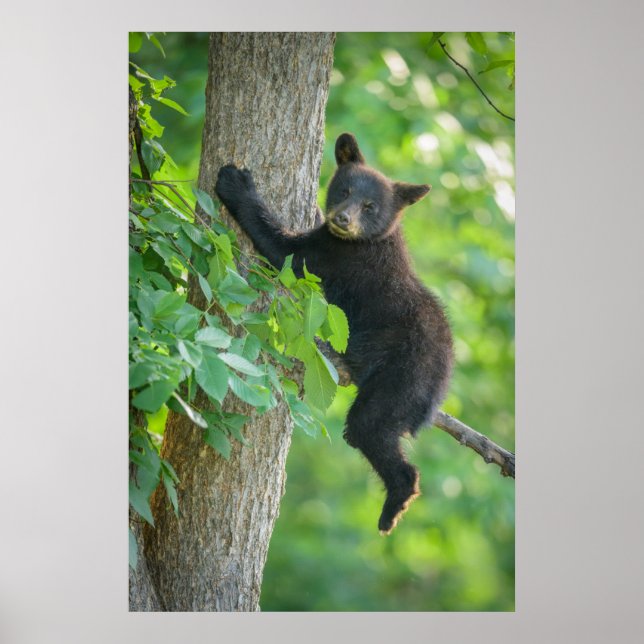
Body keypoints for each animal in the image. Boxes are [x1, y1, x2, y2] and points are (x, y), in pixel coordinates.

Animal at [215, 132, 453, 534]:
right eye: (344, 190)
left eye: (370, 206)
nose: (343, 218)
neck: (367, 240)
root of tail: (442, 383)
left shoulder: (336, 256)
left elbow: (285, 251)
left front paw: (236, 183)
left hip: (402, 378)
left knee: (369, 427)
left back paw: (393, 506)